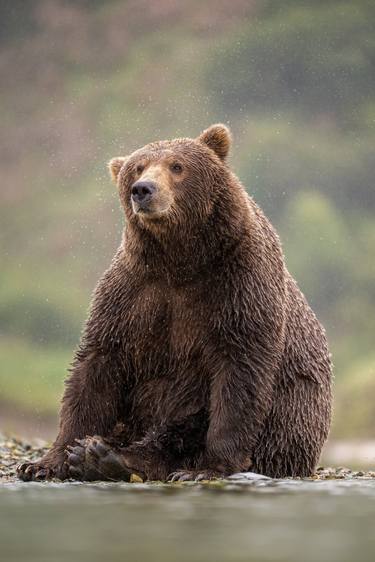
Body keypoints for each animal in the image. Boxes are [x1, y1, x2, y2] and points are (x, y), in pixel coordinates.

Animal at [19, 123, 334, 482]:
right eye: (137, 168)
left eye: (177, 166)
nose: (143, 190)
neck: (180, 261)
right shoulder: (133, 292)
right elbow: (97, 366)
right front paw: (46, 461)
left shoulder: (238, 285)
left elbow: (239, 373)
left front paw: (209, 467)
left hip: (290, 417)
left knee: (187, 423)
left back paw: (114, 458)